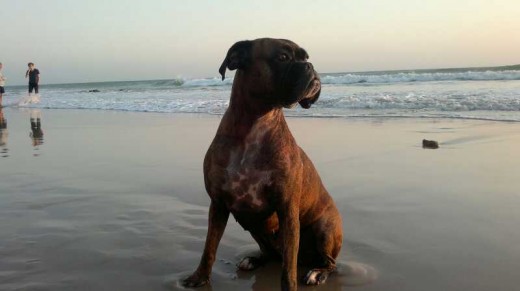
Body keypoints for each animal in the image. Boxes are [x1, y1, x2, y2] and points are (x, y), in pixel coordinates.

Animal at [181, 38, 344, 291]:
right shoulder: (218, 205)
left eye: (306, 58)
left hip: (324, 229)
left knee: (327, 262)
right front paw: (199, 277)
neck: (256, 123)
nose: (310, 66)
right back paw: (255, 259)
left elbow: (288, 269)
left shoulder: (287, 211)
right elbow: (209, 248)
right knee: (272, 253)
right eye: (283, 58)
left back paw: (318, 272)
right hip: (254, 226)